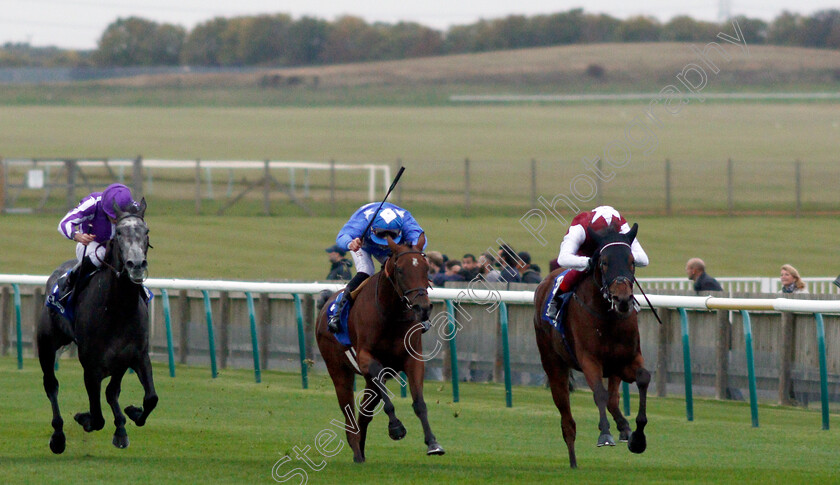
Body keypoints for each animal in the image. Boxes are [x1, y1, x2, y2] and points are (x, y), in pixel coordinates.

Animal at [316, 233, 446, 464]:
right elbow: (387, 401)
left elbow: (419, 403)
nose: (422, 307)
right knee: (349, 414)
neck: (391, 314)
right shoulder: (367, 359)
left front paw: (433, 443)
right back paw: (357, 452)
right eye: (400, 270)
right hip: (338, 370)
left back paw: (361, 449)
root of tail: (325, 305)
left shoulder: (413, 360)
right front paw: (396, 428)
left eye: (426, 269)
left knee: (363, 414)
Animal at [532, 222, 648, 466]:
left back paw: (624, 429)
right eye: (603, 262)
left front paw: (637, 438)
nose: (622, 299)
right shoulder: (589, 359)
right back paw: (574, 462)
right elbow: (599, 394)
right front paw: (605, 434)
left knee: (613, 399)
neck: (607, 316)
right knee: (567, 420)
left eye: (632, 262)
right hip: (553, 363)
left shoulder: (627, 359)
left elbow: (641, 379)